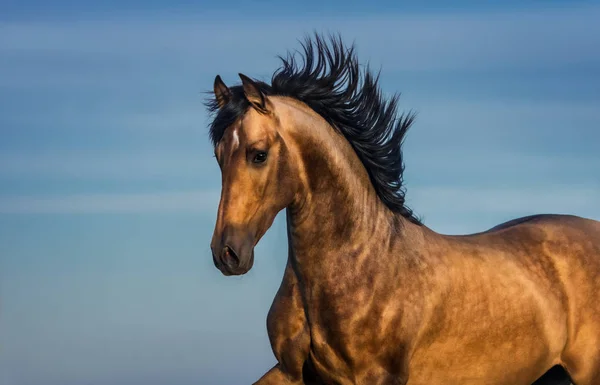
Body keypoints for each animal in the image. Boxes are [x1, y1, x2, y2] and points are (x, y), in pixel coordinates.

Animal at [204, 34, 596, 382]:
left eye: (258, 154)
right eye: (218, 156)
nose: (227, 253)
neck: (358, 263)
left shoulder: (378, 377)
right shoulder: (290, 372)